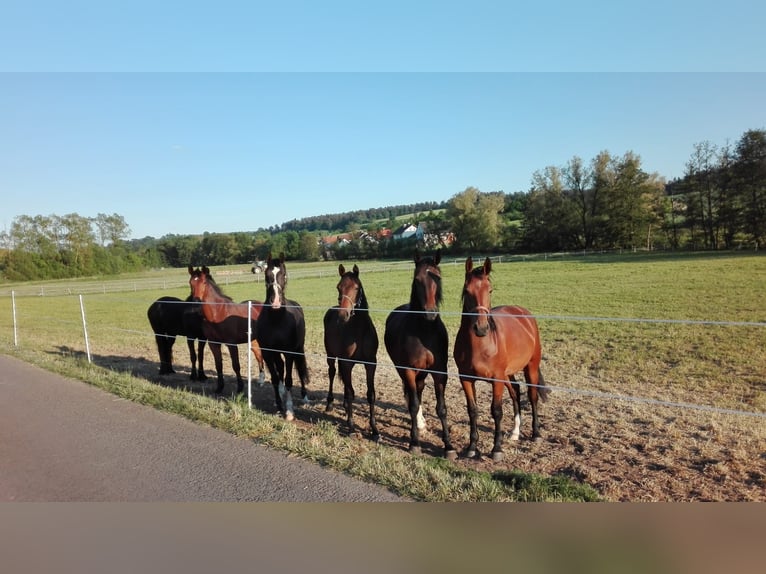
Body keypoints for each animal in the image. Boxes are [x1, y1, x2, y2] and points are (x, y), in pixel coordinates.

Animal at [187, 266, 266, 395]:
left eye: (204, 282)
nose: (196, 302)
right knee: (259, 355)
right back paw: (261, 381)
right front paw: (219, 387)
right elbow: (218, 365)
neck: (218, 313)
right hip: (254, 340)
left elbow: (236, 365)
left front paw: (240, 388)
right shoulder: (213, 344)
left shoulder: (231, 344)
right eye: (190, 282)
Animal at [257, 254, 311, 421]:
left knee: (300, 370)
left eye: (284, 275)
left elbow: (288, 380)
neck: (277, 319)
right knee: (279, 368)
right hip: (276, 353)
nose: (275, 301)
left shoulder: (289, 353)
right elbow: (275, 378)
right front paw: (279, 404)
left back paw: (305, 397)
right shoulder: (267, 352)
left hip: (299, 349)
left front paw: (289, 411)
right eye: (267, 275)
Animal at [323, 263, 379, 440]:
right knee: (332, 373)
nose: (343, 315)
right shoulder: (347, 363)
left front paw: (375, 430)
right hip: (331, 356)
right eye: (338, 287)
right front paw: (351, 427)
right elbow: (350, 393)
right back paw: (330, 403)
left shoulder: (371, 364)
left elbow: (370, 394)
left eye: (356, 287)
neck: (359, 332)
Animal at [383, 250, 456, 460]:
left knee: (420, 390)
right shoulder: (408, 370)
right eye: (417, 280)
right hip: (403, 370)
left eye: (438, 278)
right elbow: (414, 404)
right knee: (411, 396)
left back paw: (421, 423)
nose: (430, 314)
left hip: (422, 373)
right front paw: (414, 443)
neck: (424, 331)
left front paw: (449, 446)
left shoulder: (440, 372)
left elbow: (441, 408)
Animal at [453, 256, 550, 461]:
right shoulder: (465, 379)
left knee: (532, 396)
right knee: (515, 391)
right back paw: (515, 432)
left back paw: (536, 434)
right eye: (467, 290)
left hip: (530, 367)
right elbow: (472, 410)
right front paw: (471, 448)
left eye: (490, 290)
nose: (481, 328)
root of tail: (523, 313)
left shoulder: (496, 379)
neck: (481, 345)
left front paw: (496, 449)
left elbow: (496, 411)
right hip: (508, 373)